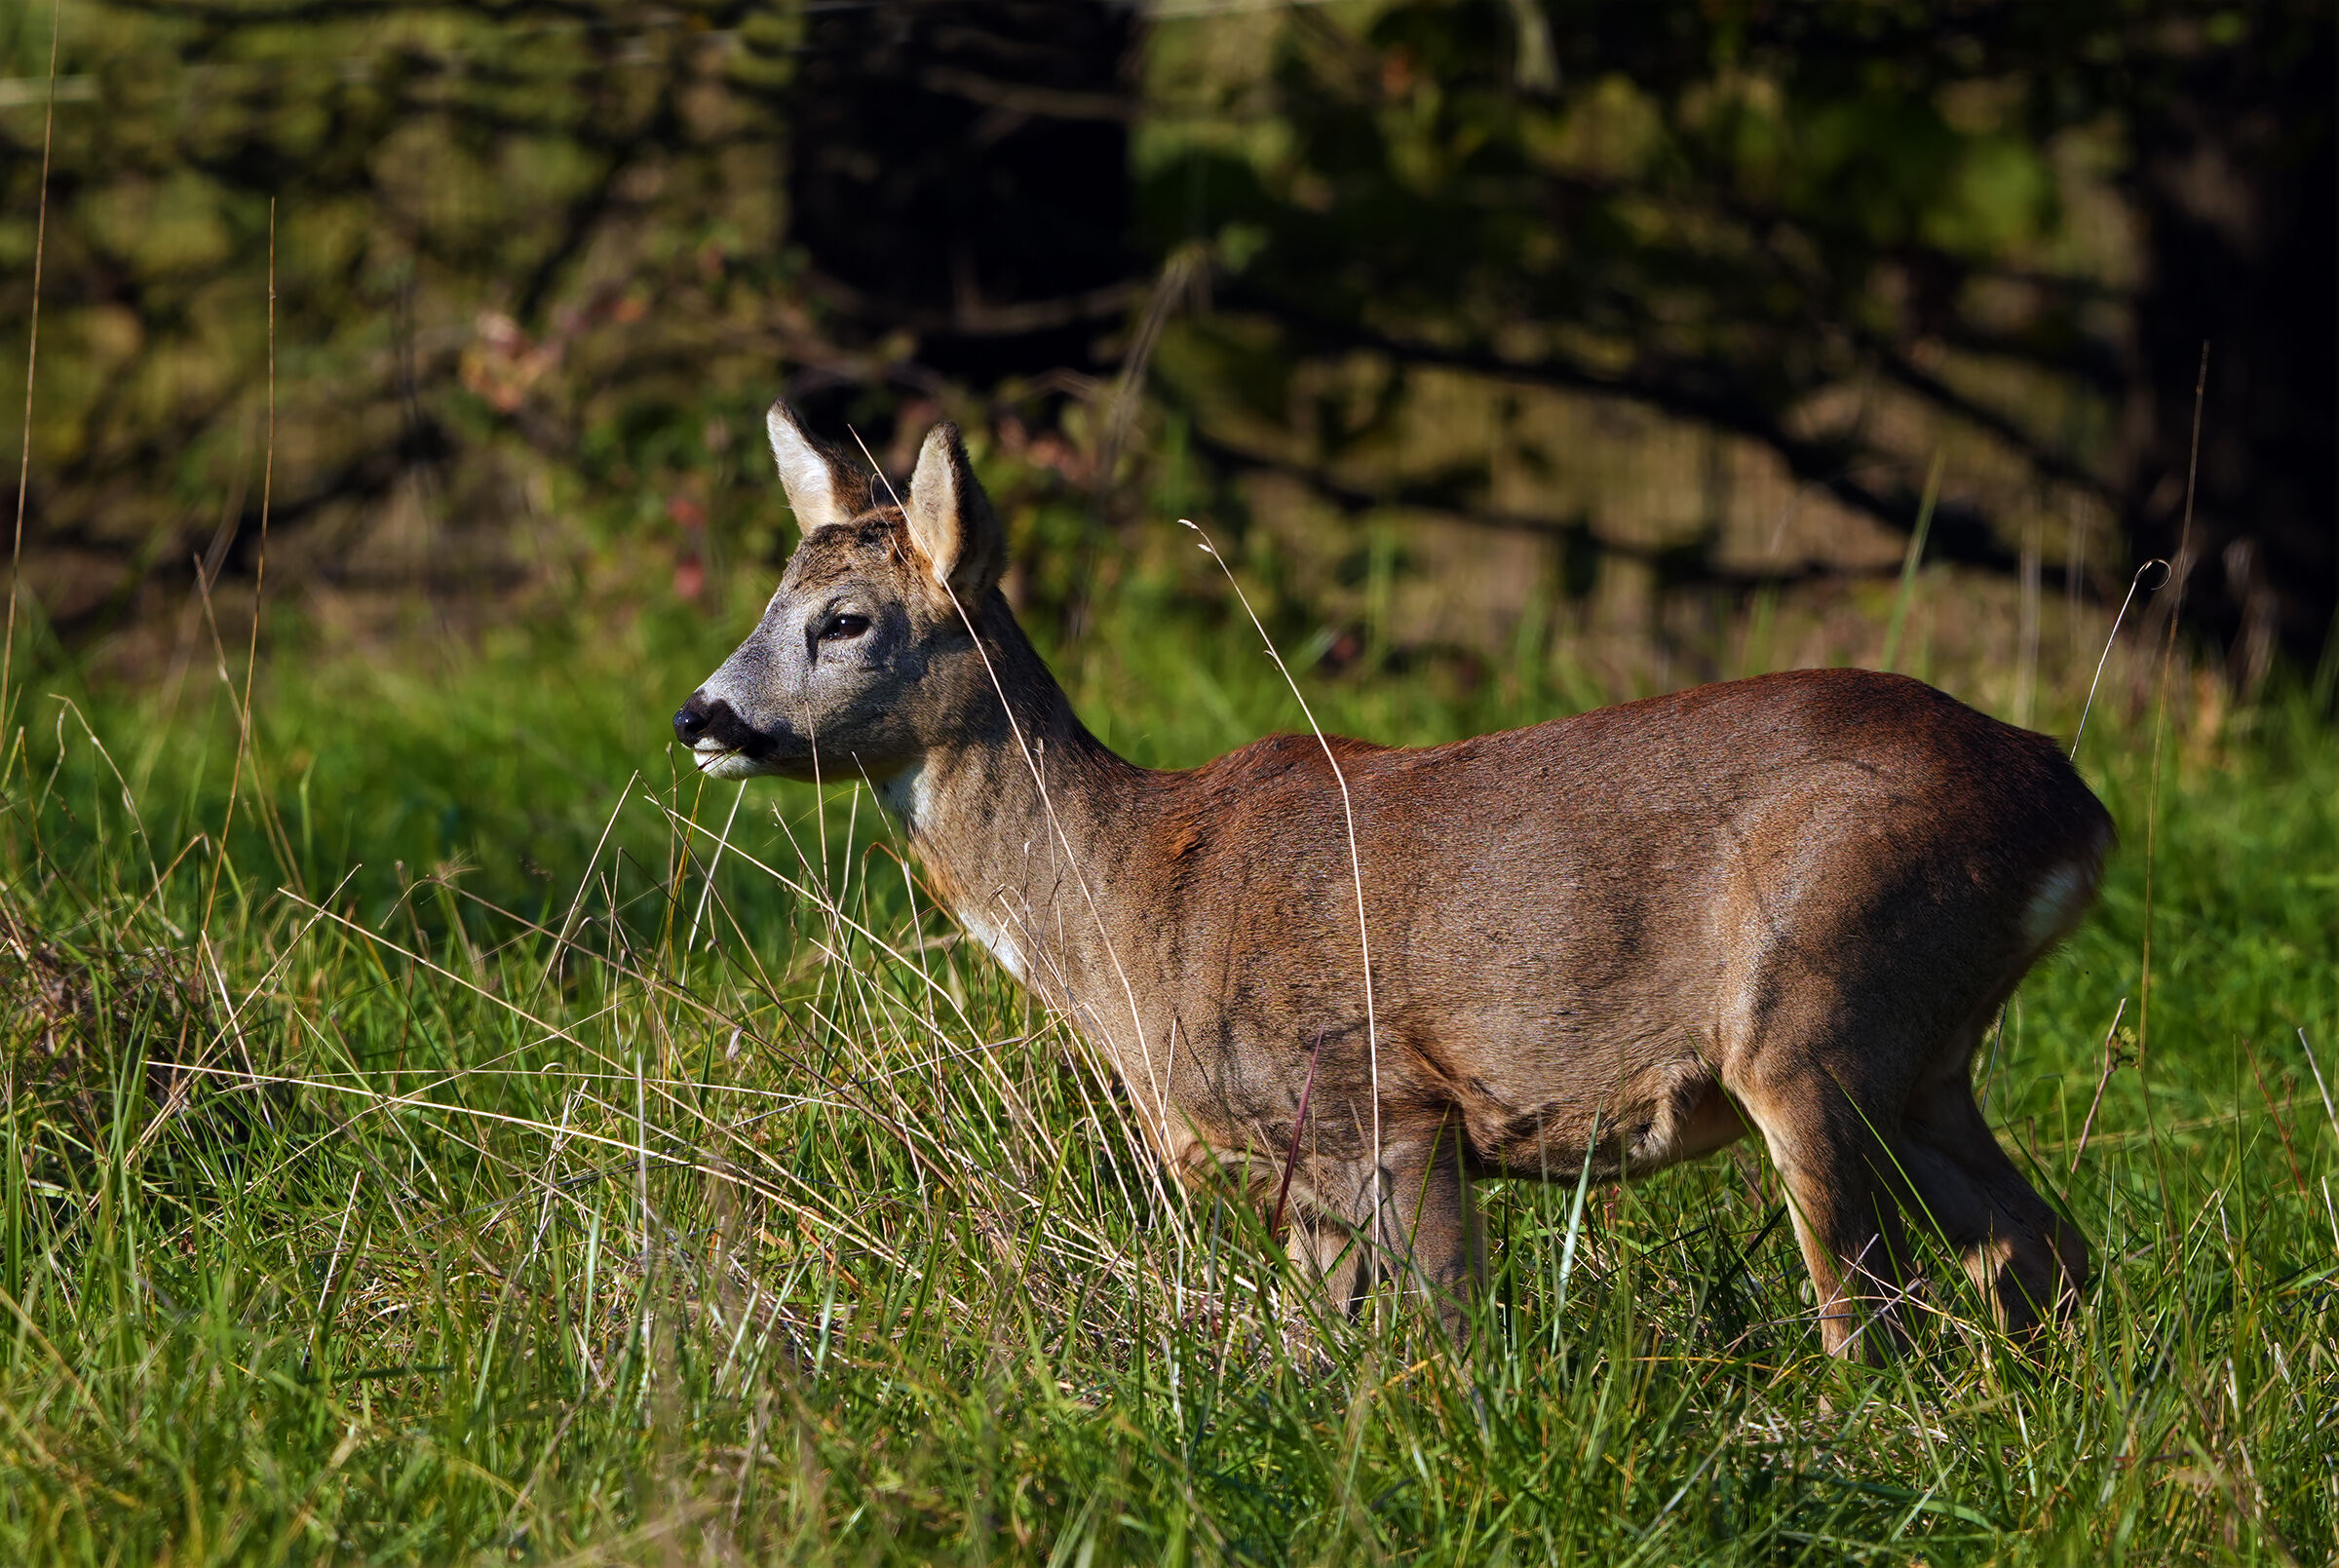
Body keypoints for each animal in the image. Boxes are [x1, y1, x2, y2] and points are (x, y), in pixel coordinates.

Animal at [673, 402, 2113, 1360]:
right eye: (770, 598)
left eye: (847, 619)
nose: (702, 714)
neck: (1137, 898)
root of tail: (2071, 806)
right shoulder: (1299, 1168)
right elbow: (1322, 1356)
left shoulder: (1387, 1098)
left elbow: (1451, 1347)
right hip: (1922, 1055)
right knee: (2042, 1251)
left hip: (1814, 1007)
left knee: (1875, 1306)